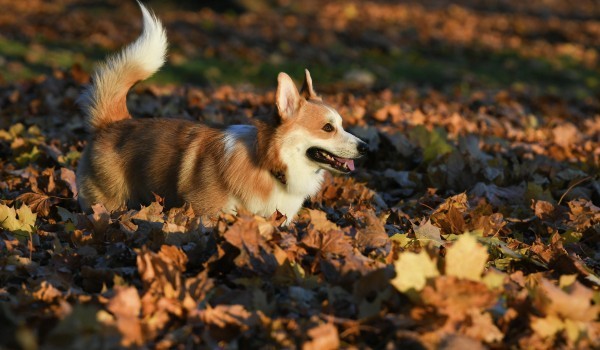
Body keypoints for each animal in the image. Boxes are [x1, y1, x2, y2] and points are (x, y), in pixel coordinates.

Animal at [75, 2, 366, 224]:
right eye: (328, 128)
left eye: (342, 125)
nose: (366, 147)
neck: (267, 162)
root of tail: (114, 123)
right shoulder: (206, 214)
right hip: (108, 203)